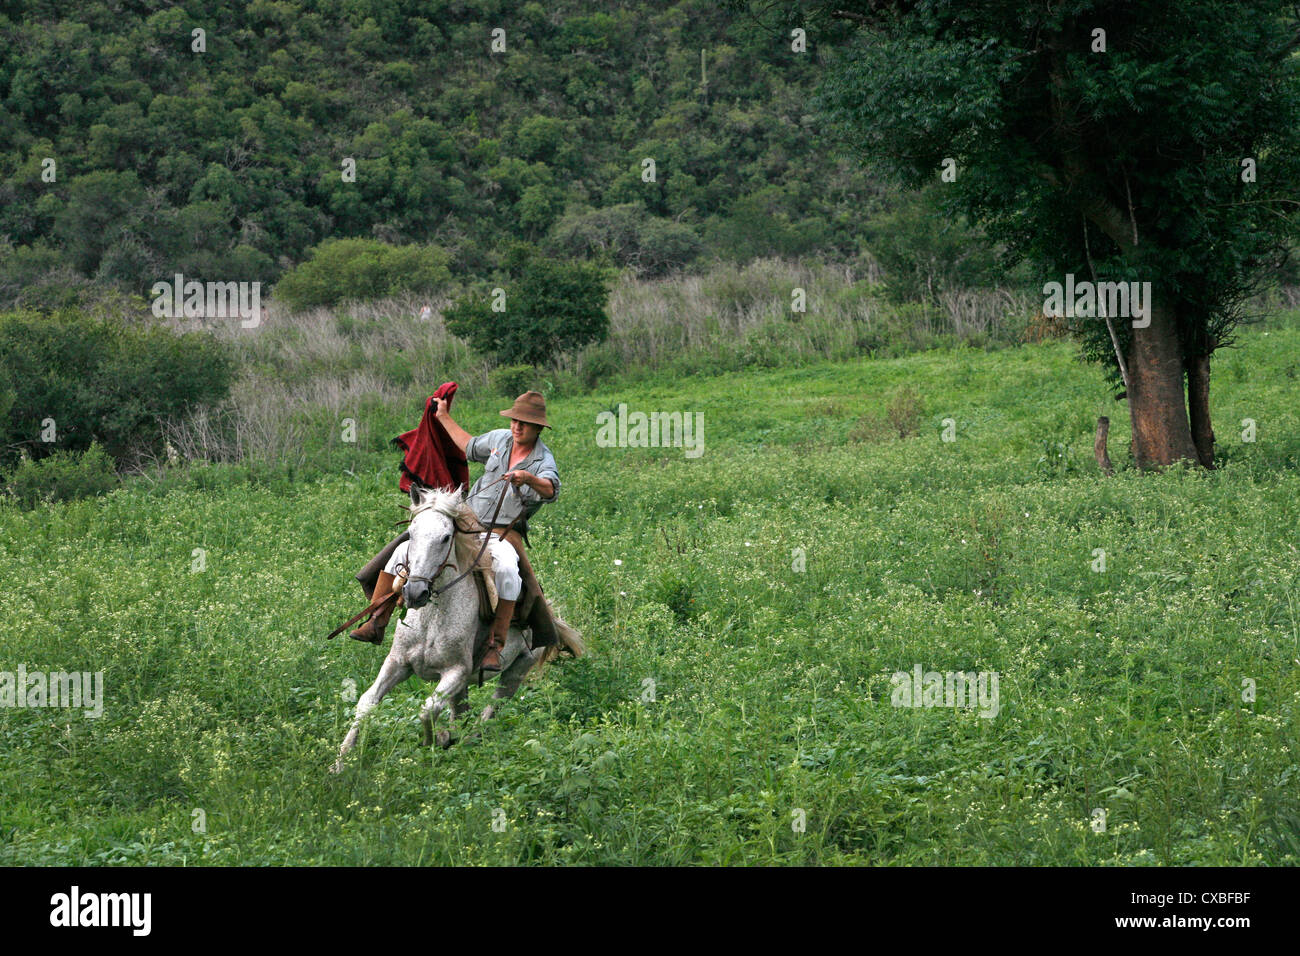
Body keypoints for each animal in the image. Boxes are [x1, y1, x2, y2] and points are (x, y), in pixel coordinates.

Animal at [332, 486, 566, 770]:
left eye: (445, 538)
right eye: (411, 533)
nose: (414, 592)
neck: (430, 620)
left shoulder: (455, 672)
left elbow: (428, 710)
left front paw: (436, 738)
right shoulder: (398, 663)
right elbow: (367, 702)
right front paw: (341, 763)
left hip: (515, 671)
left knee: (489, 712)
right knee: (463, 713)